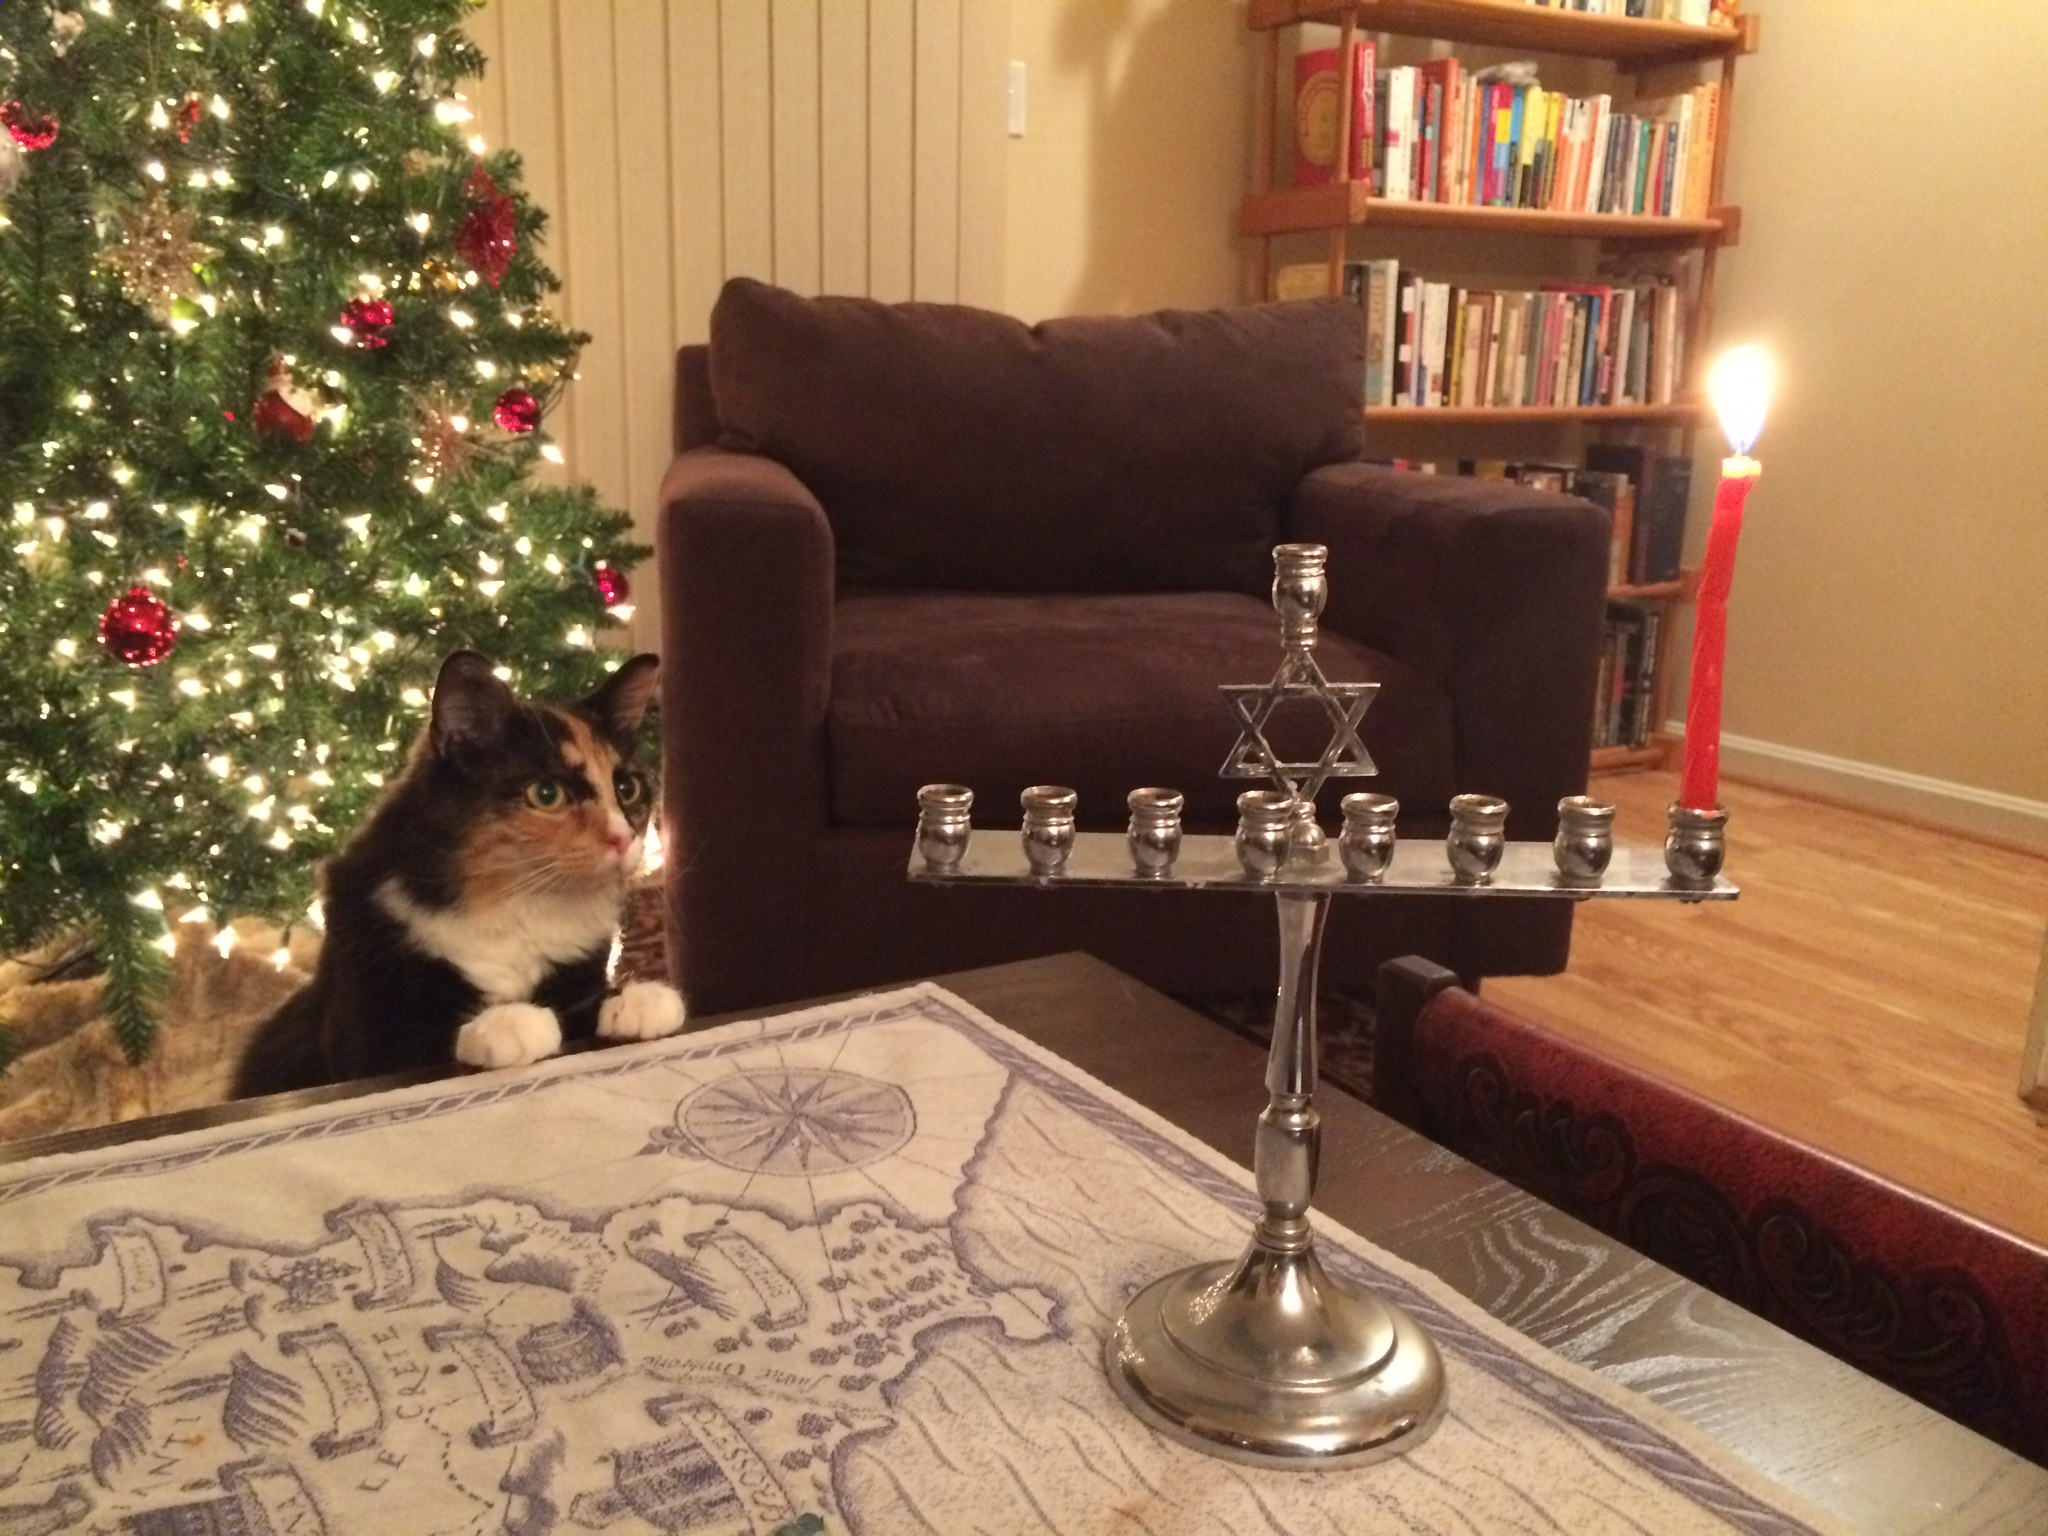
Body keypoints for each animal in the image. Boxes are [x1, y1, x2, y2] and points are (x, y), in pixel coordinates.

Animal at [229, 647, 684, 1097]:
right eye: (547, 793)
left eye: (627, 789)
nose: (624, 838)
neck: (511, 905)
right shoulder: (362, 1040)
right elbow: (424, 1039)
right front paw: (510, 1022)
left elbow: (584, 1001)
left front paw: (636, 999)